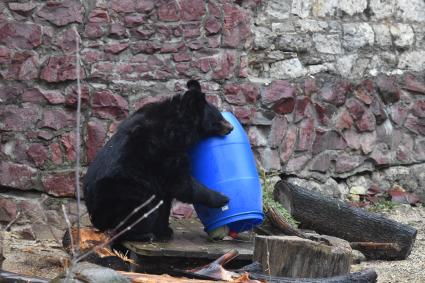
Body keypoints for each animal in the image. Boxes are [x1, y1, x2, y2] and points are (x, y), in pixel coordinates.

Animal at [83, 81, 232, 243]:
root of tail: (96, 220)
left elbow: (167, 199)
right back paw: (142, 235)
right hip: (124, 194)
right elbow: (180, 183)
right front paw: (222, 197)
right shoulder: (161, 150)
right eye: (218, 119)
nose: (231, 127)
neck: (179, 127)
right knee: (140, 212)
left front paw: (165, 231)